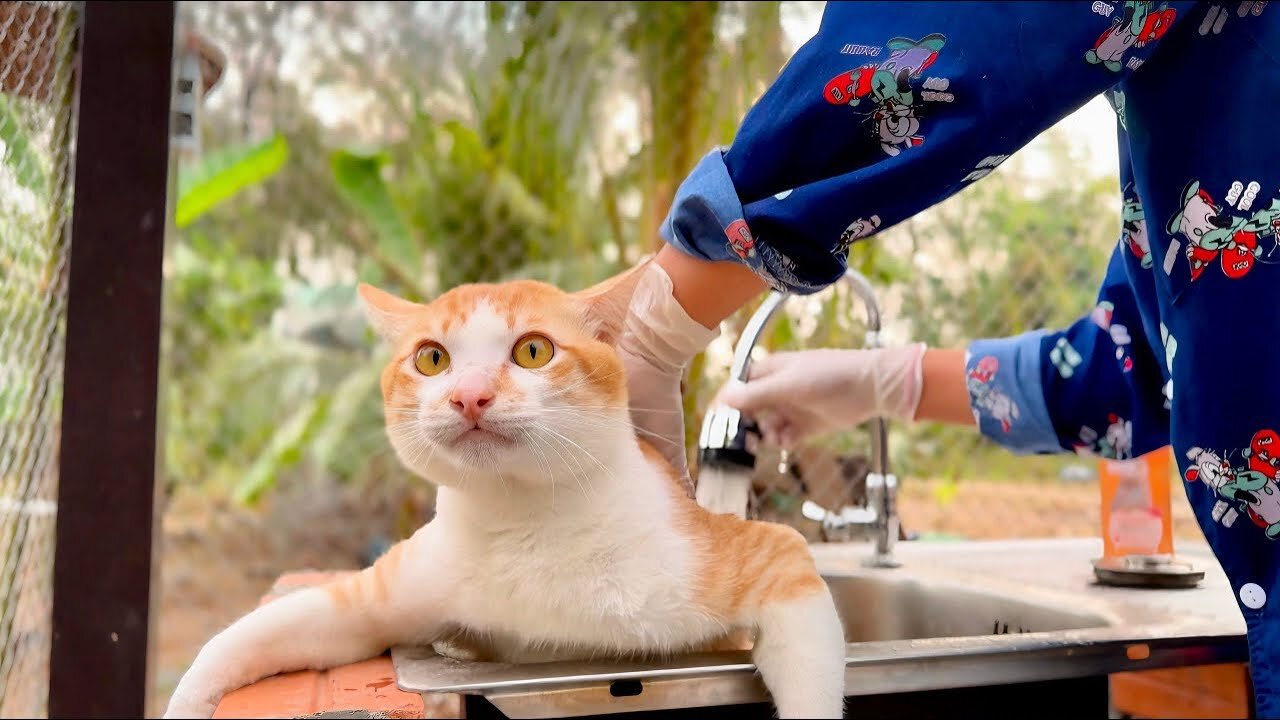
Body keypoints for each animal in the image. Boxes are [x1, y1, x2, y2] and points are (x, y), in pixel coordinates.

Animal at [167, 263, 849, 717]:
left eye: (533, 350)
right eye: (432, 359)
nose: (470, 395)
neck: (523, 522)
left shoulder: (777, 558)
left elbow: (812, 681)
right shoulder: (373, 602)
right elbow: (250, 635)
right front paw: (188, 698)